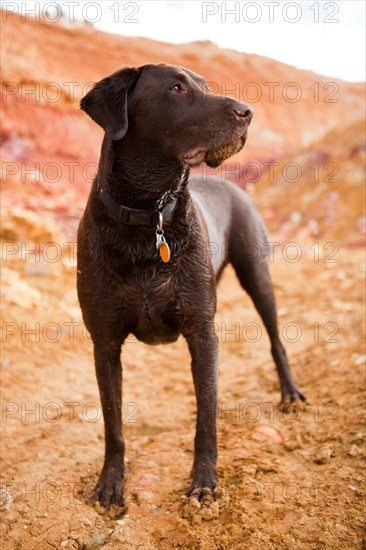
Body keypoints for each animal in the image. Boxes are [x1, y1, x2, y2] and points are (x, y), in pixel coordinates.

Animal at [77, 62, 304, 512]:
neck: (149, 217)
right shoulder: (104, 342)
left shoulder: (201, 331)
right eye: (176, 88)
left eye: (205, 85)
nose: (247, 112)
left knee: (276, 340)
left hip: (257, 276)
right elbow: (113, 424)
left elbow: (206, 417)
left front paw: (204, 483)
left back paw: (289, 393)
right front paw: (109, 485)